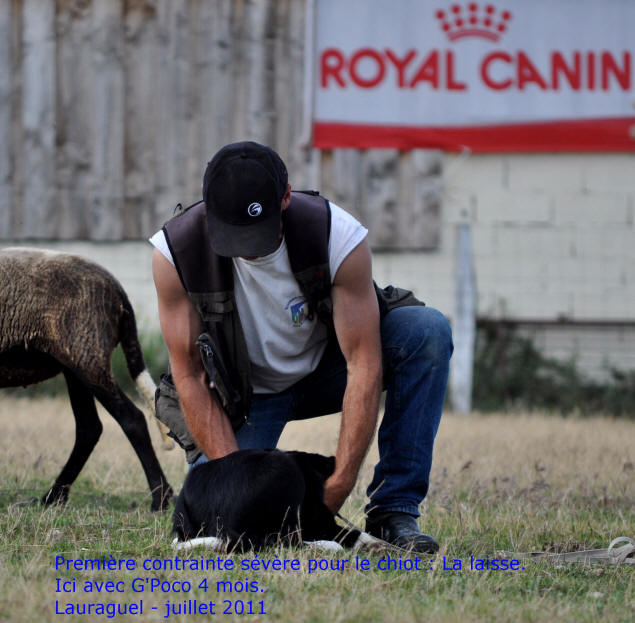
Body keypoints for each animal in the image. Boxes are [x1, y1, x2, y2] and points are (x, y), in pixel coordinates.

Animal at [0, 249, 174, 512]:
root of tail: (119, 293)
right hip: (75, 362)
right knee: (89, 427)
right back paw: (53, 497)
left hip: (88, 353)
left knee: (131, 419)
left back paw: (160, 499)